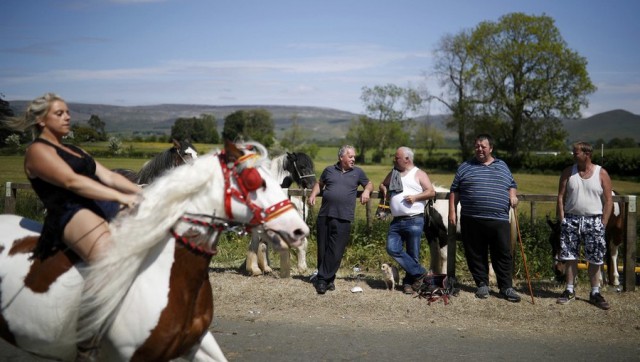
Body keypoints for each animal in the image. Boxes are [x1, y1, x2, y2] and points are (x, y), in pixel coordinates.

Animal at [0, 141, 310, 362]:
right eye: (301, 163)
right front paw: (256, 268)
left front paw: (265, 267)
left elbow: (264, 243)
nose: (309, 184)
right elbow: (258, 245)